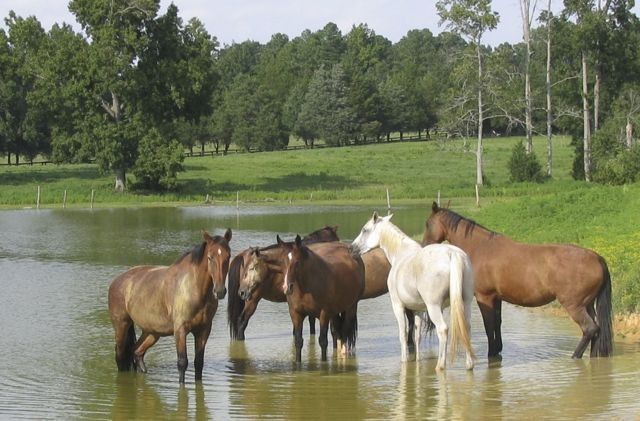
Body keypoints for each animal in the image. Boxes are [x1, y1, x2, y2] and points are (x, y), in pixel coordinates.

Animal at [108, 228, 232, 382]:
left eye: (228, 256)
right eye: (210, 257)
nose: (220, 291)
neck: (195, 289)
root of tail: (117, 281)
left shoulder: (203, 330)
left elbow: (198, 363)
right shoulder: (180, 330)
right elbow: (182, 362)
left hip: (152, 332)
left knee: (137, 352)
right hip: (121, 326)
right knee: (120, 356)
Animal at [350, 212, 476, 370]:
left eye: (365, 230)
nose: (351, 248)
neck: (401, 254)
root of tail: (452, 254)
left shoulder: (398, 306)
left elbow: (403, 334)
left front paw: (404, 360)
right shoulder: (419, 310)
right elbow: (417, 335)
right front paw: (417, 361)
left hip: (434, 307)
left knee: (442, 329)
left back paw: (440, 365)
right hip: (466, 302)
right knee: (466, 327)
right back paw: (469, 364)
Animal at [422, 203, 612, 358]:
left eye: (427, 224)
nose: (424, 245)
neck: (481, 248)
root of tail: (597, 258)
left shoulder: (484, 297)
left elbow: (488, 325)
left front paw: (491, 353)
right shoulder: (496, 298)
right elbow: (497, 323)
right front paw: (497, 350)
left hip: (575, 306)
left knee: (590, 329)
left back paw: (575, 356)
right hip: (588, 305)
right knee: (597, 330)